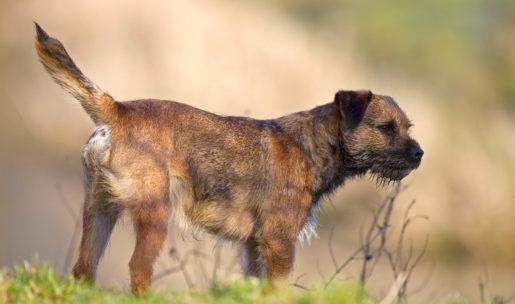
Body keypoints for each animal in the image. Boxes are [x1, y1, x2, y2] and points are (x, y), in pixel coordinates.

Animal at [35, 23, 424, 292]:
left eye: (408, 127)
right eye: (386, 128)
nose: (420, 153)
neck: (312, 145)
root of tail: (116, 110)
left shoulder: (253, 247)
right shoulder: (280, 242)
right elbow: (278, 289)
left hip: (99, 209)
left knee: (85, 267)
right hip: (155, 214)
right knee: (138, 270)